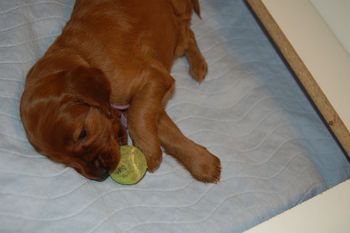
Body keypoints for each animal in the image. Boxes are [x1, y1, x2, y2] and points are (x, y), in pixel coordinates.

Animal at [19, 0, 220, 182]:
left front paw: (150, 153)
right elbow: (169, 133)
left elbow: (137, 117)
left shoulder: (154, 79)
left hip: (179, 12)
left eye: (83, 133)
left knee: (187, 32)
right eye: (61, 160)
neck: (84, 57)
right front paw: (203, 164)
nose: (101, 175)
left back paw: (198, 65)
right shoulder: (153, 99)